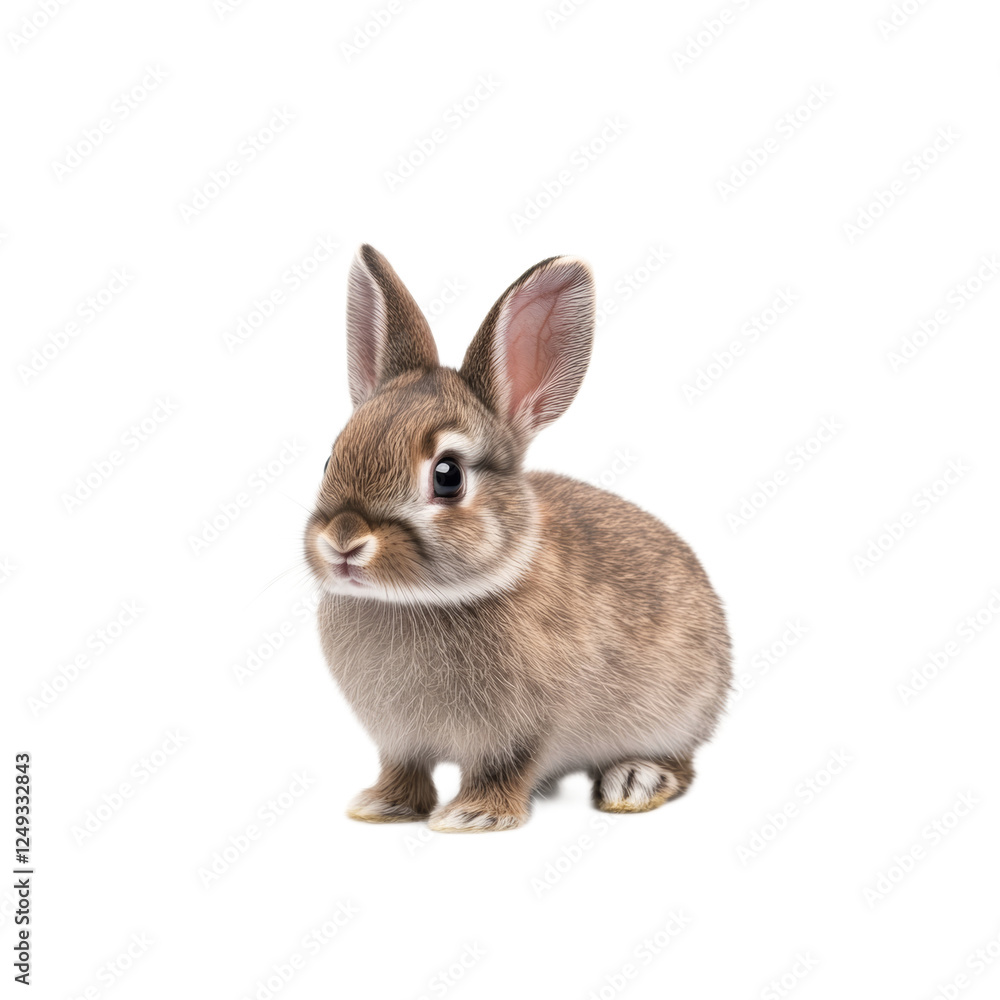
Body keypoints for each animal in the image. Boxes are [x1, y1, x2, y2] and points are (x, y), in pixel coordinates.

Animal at [303, 245, 732, 833]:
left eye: (448, 476)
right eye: (330, 460)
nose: (343, 540)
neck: (419, 601)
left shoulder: (523, 730)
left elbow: (503, 769)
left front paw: (472, 817)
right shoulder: (399, 740)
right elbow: (404, 769)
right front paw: (381, 806)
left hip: (678, 710)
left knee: (682, 763)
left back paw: (635, 781)